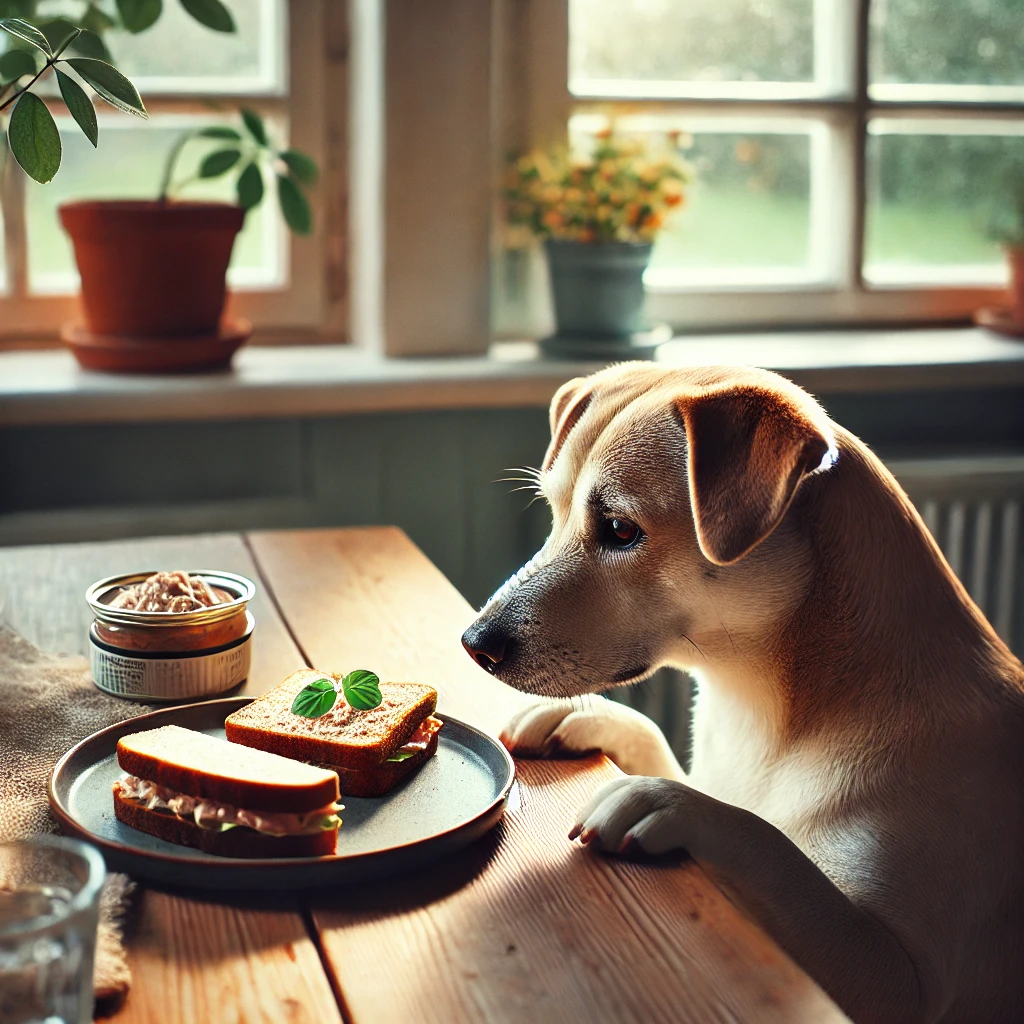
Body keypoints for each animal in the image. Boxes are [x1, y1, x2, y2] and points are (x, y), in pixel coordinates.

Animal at [462, 364, 1024, 1024]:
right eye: (553, 511)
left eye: (621, 530)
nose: (474, 643)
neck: (770, 715)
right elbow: (656, 743)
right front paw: (582, 718)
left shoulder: (906, 984)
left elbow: (775, 852)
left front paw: (677, 804)